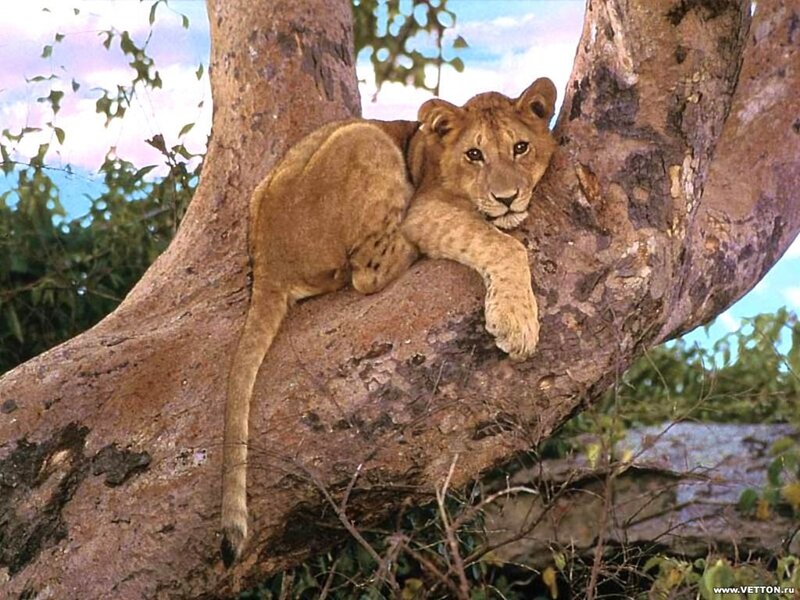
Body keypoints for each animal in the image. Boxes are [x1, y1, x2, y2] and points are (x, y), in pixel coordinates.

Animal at [221, 77, 557, 565]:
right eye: (474, 154)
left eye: (521, 147)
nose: (506, 198)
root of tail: (267, 257)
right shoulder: (428, 208)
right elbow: (502, 243)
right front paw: (516, 324)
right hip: (365, 139)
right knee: (366, 272)